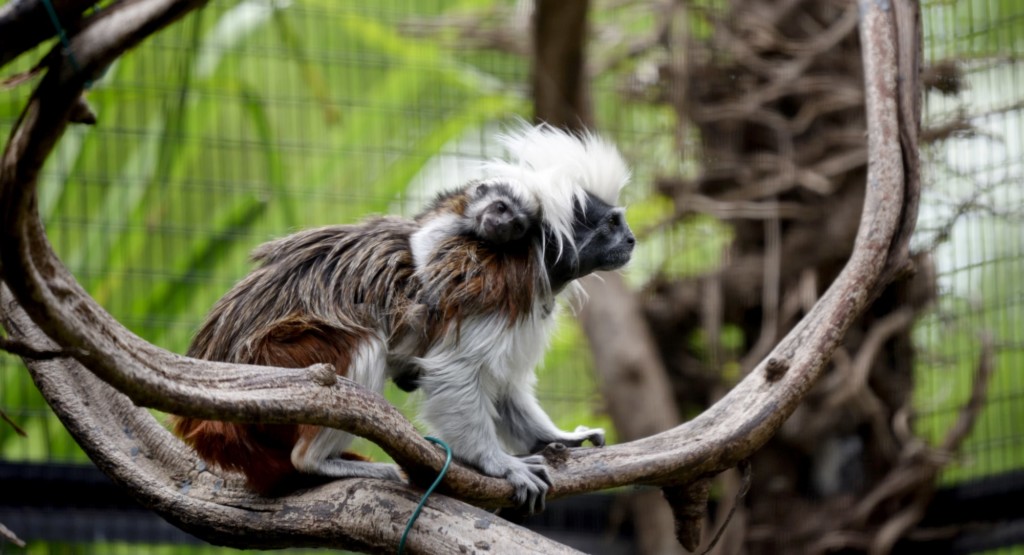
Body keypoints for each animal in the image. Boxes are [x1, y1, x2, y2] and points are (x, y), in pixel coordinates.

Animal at [172, 122, 630, 514]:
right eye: (612, 223)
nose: (630, 240)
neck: (536, 257)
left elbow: (504, 388)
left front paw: (556, 438)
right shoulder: (493, 291)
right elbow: (453, 371)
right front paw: (498, 463)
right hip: (277, 362)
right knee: (361, 345)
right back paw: (319, 461)